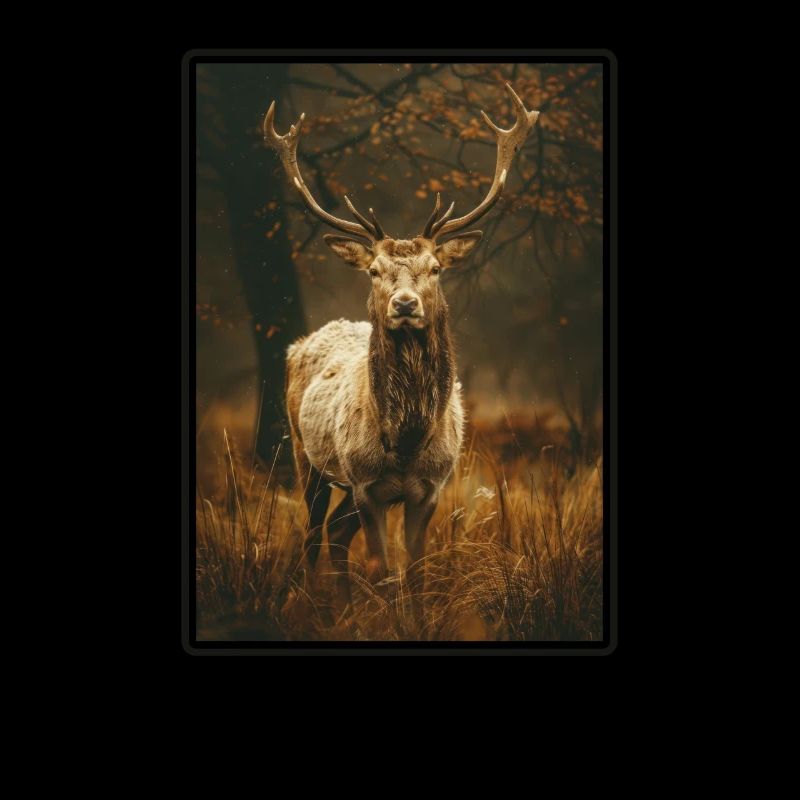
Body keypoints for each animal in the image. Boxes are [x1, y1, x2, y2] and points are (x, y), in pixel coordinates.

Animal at [263, 83, 539, 615]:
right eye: (374, 271)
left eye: (435, 267)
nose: (405, 304)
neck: (407, 438)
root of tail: (296, 345)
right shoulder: (365, 485)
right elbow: (382, 569)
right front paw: (385, 619)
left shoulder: (430, 489)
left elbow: (414, 571)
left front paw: (414, 618)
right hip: (306, 457)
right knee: (312, 534)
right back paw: (316, 604)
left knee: (335, 534)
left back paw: (344, 608)